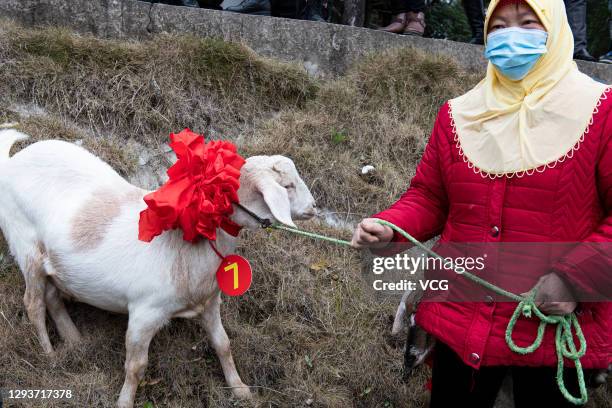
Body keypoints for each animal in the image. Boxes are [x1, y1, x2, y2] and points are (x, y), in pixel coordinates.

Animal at [0, 129, 316, 406]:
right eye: (287, 186)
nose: (314, 207)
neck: (187, 244)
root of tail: (11, 161)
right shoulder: (145, 312)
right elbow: (136, 366)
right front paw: (124, 402)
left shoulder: (210, 301)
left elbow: (223, 343)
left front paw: (240, 389)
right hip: (26, 247)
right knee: (33, 303)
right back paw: (50, 354)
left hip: (51, 262)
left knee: (52, 296)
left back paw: (74, 340)